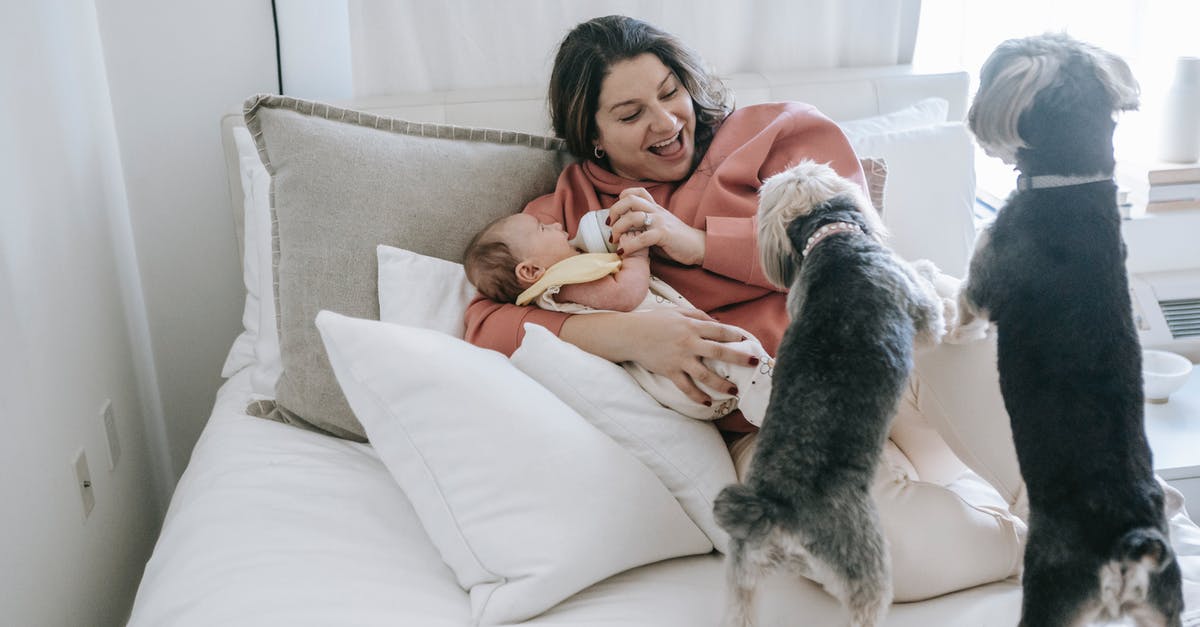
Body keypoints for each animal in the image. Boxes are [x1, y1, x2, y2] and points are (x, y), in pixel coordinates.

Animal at [710, 160, 945, 624]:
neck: (831, 237)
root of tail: (776, 509)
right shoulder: (922, 314)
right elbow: (929, 296)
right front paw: (929, 268)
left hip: (744, 572)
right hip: (866, 568)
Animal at [960, 34, 1185, 624]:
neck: (1072, 183)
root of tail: (1131, 538)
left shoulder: (981, 283)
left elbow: (961, 306)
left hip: (1051, 590)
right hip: (1163, 602)